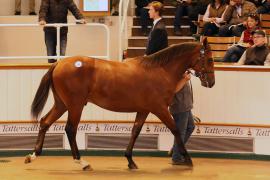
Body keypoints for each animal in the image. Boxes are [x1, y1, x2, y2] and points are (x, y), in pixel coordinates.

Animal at [25, 37, 215, 170]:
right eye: (210, 59)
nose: (211, 82)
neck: (159, 71)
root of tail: (58, 63)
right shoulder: (160, 109)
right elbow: (176, 130)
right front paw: (188, 159)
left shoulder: (144, 110)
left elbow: (135, 131)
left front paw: (130, 160)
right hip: (75, 106)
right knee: (70, 130)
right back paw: (82, 162)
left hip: (62, 105)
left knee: (45, 122)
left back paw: (33, 155)